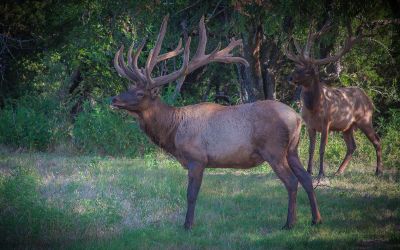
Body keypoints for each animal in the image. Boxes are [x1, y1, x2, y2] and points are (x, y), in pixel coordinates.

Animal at [110, 15, 322, 229]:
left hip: (274, 150)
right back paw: (316, 219)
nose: (114, 99)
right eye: (129, 87)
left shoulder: (197, 158)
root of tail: (297, 118)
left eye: (140, 93)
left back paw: (289, 223)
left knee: (292, 181)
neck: (173, 131)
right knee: (306, 178)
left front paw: (187, 225)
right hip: (292, 149)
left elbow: (191, 195)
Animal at [282, 21, 390, 178]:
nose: (290, 78)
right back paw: (339, 171)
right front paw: (309, 171)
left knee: (377, 140)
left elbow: (322, 148)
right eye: (297, 66)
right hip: (347, 126)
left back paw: (379, 171)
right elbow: (311, 149)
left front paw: (321, 173)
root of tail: (369, 100)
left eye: (308, 70)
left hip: (365, 119)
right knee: (352, 146)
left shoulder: (326, 123)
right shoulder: (309, 125)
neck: (314, 107)